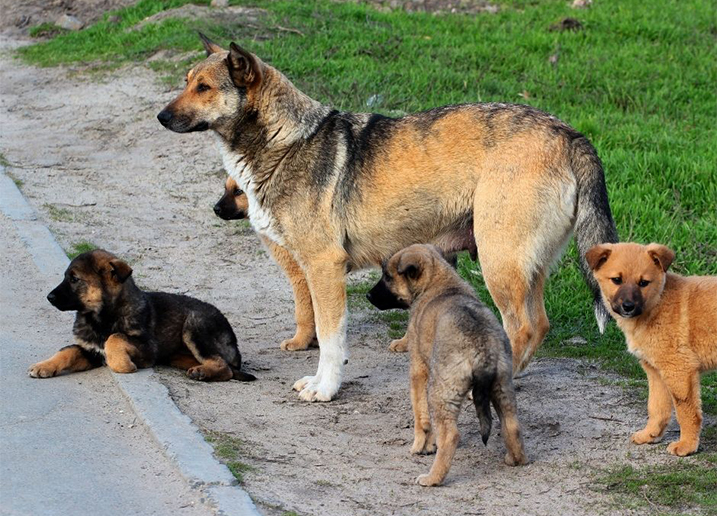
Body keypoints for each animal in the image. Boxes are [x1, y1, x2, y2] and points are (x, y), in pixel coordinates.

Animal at [28, 250, 258, 382]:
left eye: (75, 279)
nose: (49, 297)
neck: (101, 317)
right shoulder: (89, 351)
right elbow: (67, 351)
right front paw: (44, 366)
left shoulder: (148, 349)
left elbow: (115, 338)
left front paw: (122, 364)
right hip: (176, 355)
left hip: (195, 326)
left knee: (225, 368)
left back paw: (202, 373)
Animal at [159, 34, 620, 402]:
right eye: (185, 82)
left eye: (204, 87)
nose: (161, 117)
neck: (286, 142)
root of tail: (568, 133)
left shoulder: (323, 268)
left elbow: (329, 339)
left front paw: (325, 388)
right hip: (524, 266)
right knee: (539, 325)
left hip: (500, 262)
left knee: (522, 328)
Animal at [366, 244, 524, 486]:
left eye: (387, 276)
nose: (367, 295)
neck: (439, 281)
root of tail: (482, 348)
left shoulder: (418, 370)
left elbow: (420, 415)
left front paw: (420, 446)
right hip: (502, 385)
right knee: (512, 425)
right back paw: (515, 459)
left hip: (441, 392)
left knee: (450, 435)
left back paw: (433, 477)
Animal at [588, 242, 716, 456]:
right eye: (616, 280)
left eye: (643, 283)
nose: (628, 306)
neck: (657, 304)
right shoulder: (656, 372)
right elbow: (656, 408)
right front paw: (650, 435)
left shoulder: (679, 370)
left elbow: (686, 412)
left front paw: (687, 445)